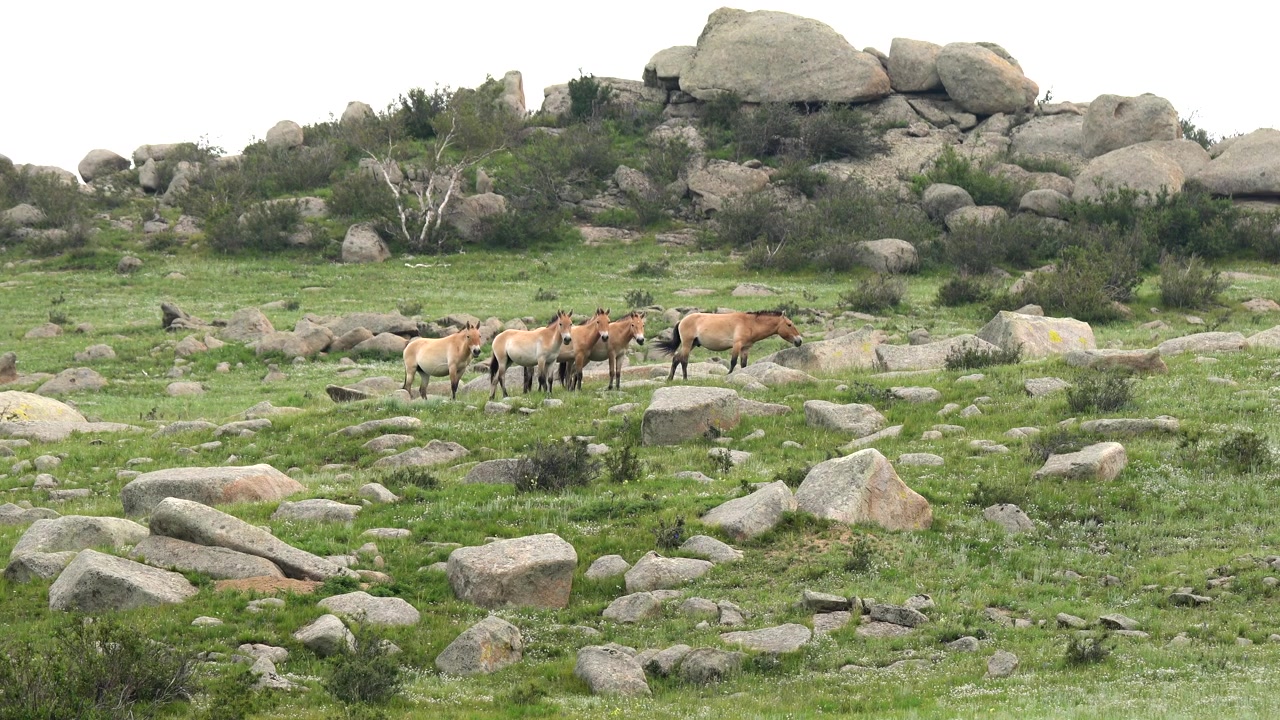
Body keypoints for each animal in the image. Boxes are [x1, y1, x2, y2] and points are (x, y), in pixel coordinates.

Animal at [655, 310, 802, 380]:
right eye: (789, 324)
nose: (799, 341)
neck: (750, 323)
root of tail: (682, 320)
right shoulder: (737, 345)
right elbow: (733, 362)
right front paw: (728, 375)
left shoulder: (745, 348)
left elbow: (743, 364)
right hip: (687, 343)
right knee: (684, 360)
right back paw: (685, 379)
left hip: (692, 344)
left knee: (676, 358)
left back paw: (670, 379)